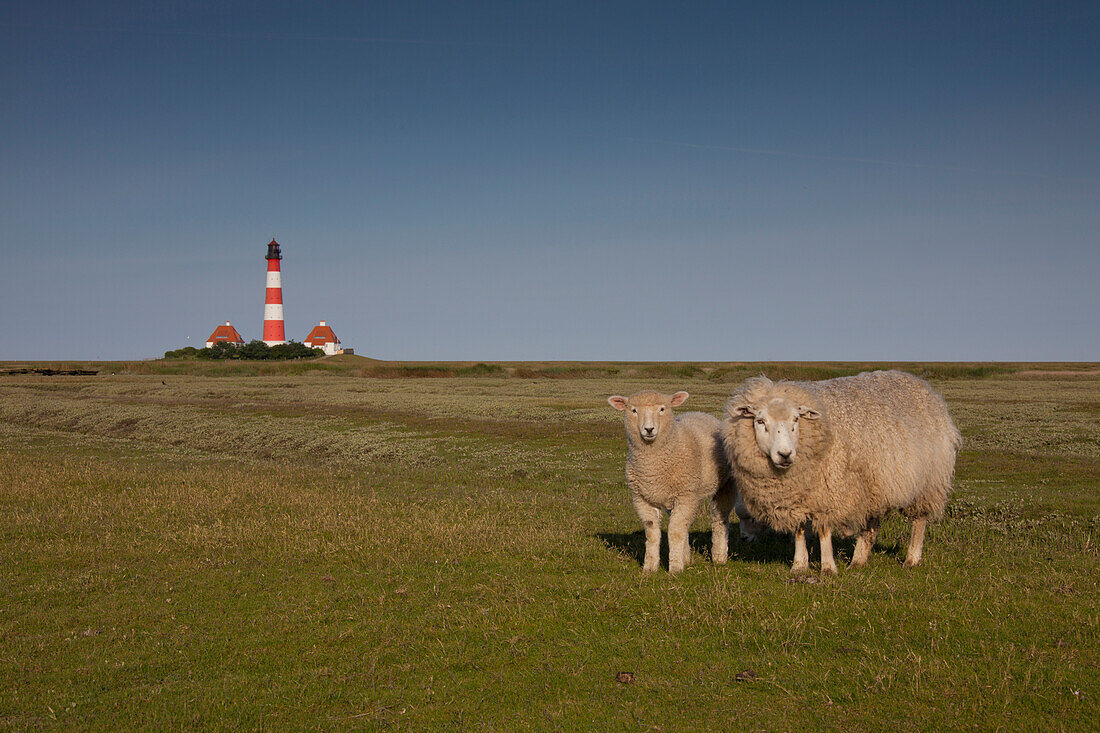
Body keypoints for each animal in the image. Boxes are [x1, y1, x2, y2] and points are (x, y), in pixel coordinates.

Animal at [611, 387, 739, 572]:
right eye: (634, 410)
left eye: (662, 409)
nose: (649, 429)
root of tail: (700, 413)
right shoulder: (642, 499)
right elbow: (652, 532)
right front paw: (650, 567)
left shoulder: (685, 495)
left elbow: (675, 531)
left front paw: (675, 568)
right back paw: (687, 557)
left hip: (724, 486)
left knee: (719, 519)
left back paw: (719, 556)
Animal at [717, 372, 959, 572]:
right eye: (760, 421)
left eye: (796, 419)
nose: (784, 454)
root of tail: (921, 384)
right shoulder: (797, 496)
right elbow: (799, 530)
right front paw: (799, 565)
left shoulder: (828, 492)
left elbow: (824, 531)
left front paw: (827, 567)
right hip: (873, 483)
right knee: (871, 523)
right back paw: (859, 560)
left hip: (928, 481)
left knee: (919, 520)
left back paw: (911, 558)